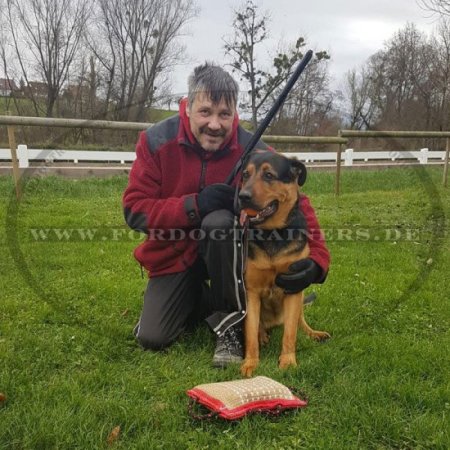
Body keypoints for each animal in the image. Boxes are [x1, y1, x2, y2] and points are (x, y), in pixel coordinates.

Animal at [237, 150, 328, 376]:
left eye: (269, 175)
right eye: (245, 175)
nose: (242, 197)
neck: (272, 233)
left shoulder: (293, 288)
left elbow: (290, 333)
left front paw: (287, 362)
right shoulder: (251, 291)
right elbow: (250, 332)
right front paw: (250, 363)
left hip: (301, 294)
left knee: (299, 321)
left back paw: (313, 333)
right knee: (258, 326)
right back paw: (263, 335)